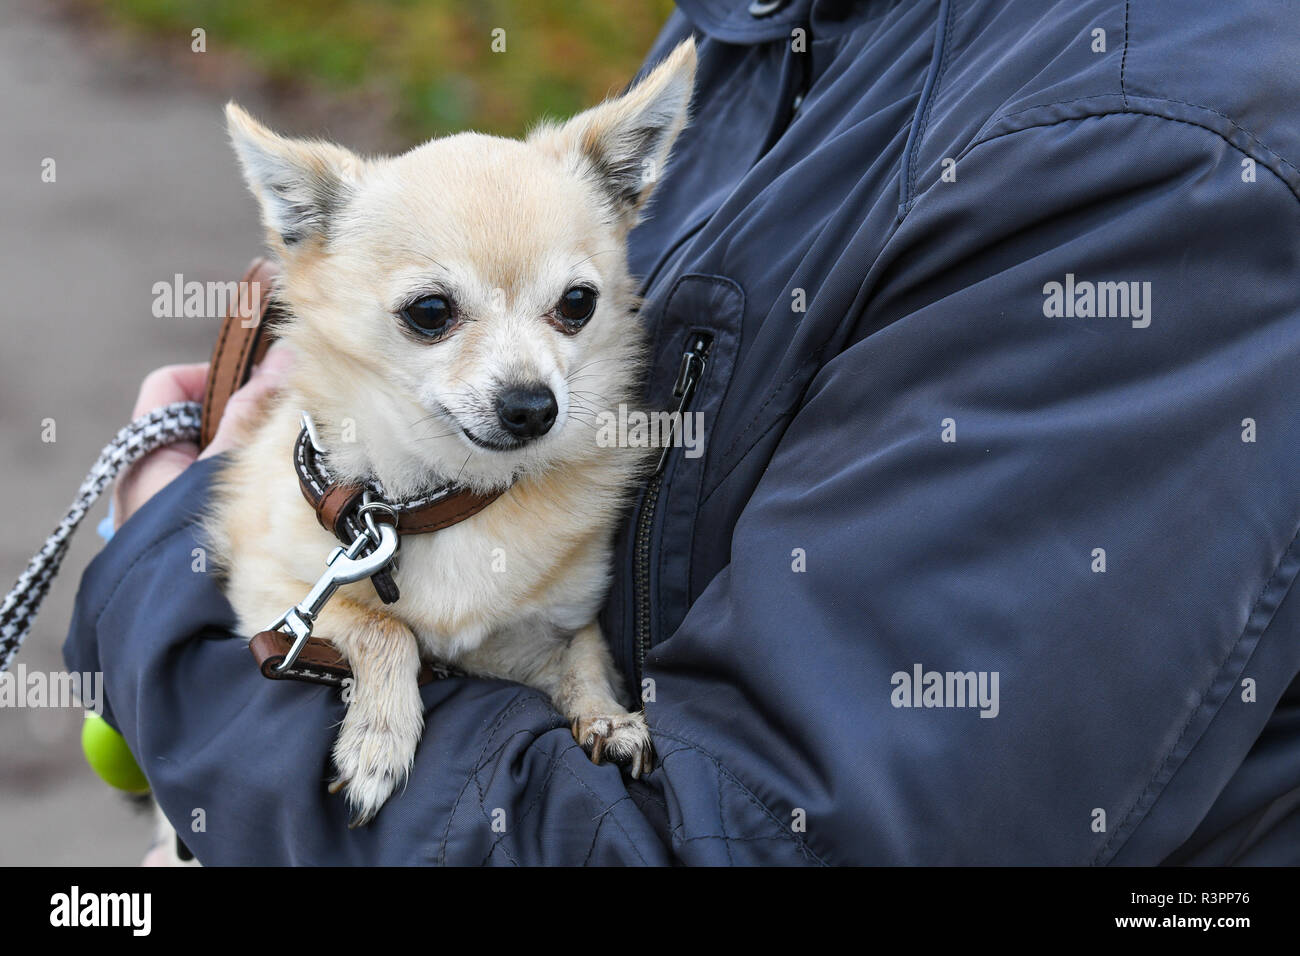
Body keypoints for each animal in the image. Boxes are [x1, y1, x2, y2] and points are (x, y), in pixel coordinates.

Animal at [201, 41, 691, 827]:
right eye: (430, 312)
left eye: (577, 304)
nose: (532, 405)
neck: (440, 497)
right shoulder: (273, 600)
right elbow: (383, 626)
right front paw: (379, 737)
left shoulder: (546, 631)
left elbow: (584, 655)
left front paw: (607, 716)